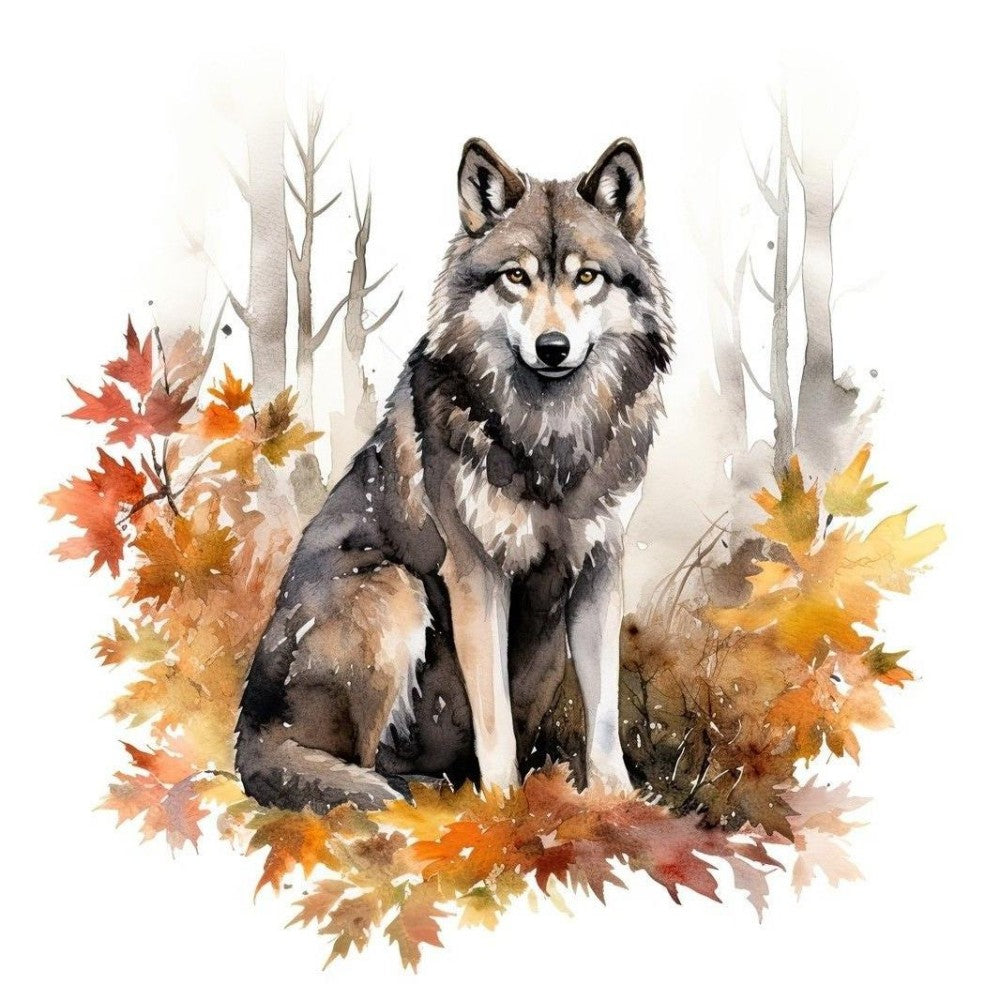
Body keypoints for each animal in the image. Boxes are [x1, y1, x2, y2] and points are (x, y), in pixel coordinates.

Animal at [235, 137, 673, 811]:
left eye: (587, 276)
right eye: (516, 276)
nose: (552, 347)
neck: (547, 441)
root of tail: (247, 737)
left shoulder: (600, 567)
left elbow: (602, 714)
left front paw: (615, 804)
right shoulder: (475, 574)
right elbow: (495, 720)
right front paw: (506, 810)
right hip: (393, 590)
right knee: (356, 764)